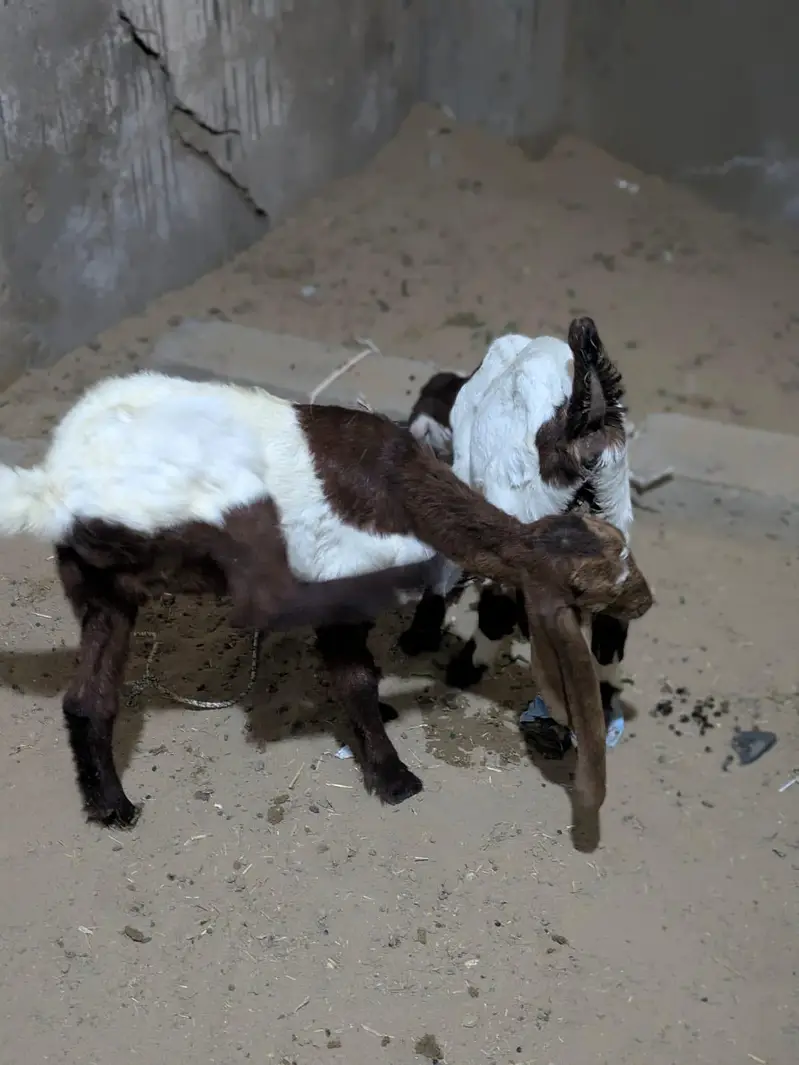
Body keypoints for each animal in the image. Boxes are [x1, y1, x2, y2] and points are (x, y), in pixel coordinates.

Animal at [0, 370, 651, 827]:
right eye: (593, 586)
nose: (644, 601)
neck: (402, 487)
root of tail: (55, 486)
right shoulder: (338, 574)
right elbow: (354, 676)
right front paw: (394, 777)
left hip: (102, 588)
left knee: (89, 697)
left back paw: (112, 807)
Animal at [401, 316, 633, 718]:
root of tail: (582, 421)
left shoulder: (466, 477)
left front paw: (420, 633)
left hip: (524, 521)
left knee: (499, 609)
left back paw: (465, 668)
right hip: (614, 516)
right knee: (611, 625)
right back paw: (603, 699)